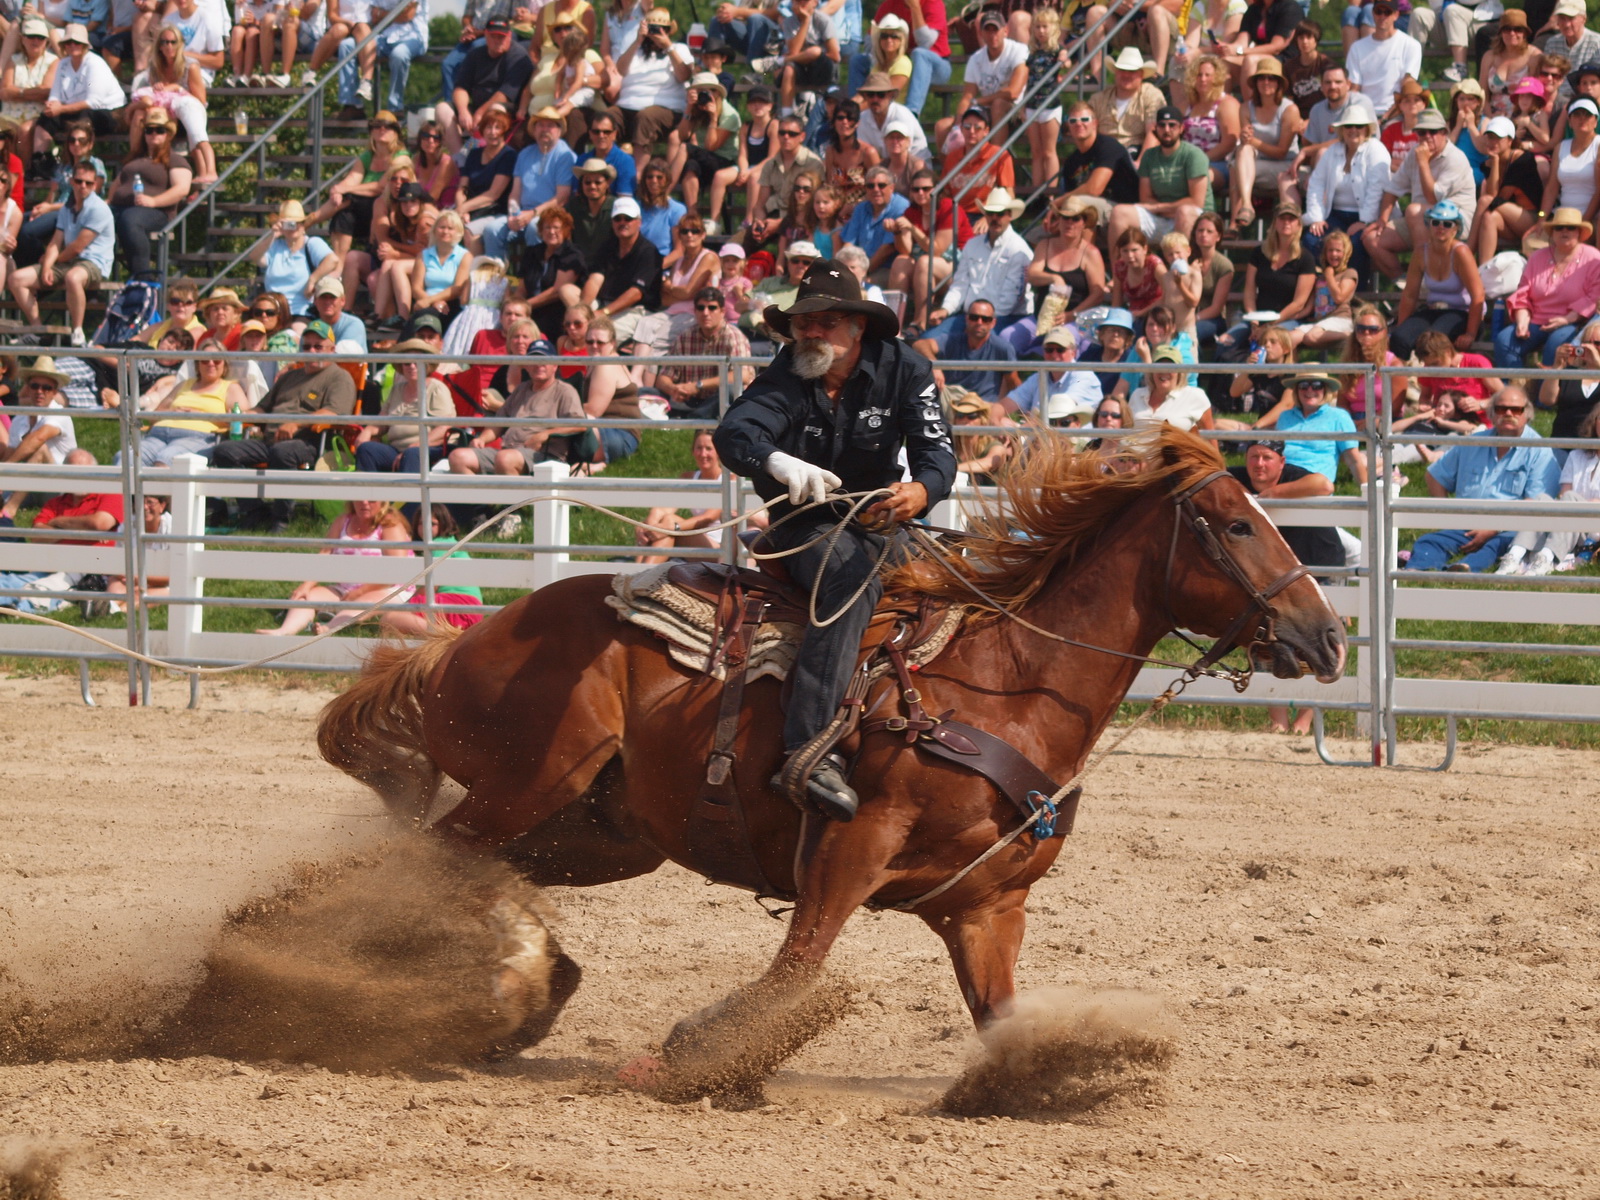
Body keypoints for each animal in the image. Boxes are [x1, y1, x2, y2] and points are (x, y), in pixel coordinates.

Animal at [318, 432, 1344, 1100]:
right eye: (1235, 526)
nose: (1328, 637)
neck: (1003, 686)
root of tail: (469, 636)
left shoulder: (988, 907)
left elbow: (998, 1016)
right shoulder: (851, 849)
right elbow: (794, 974)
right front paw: (685, 1060)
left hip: (600, 831)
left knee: (467, 872)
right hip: (524, 784)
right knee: (424, 864)